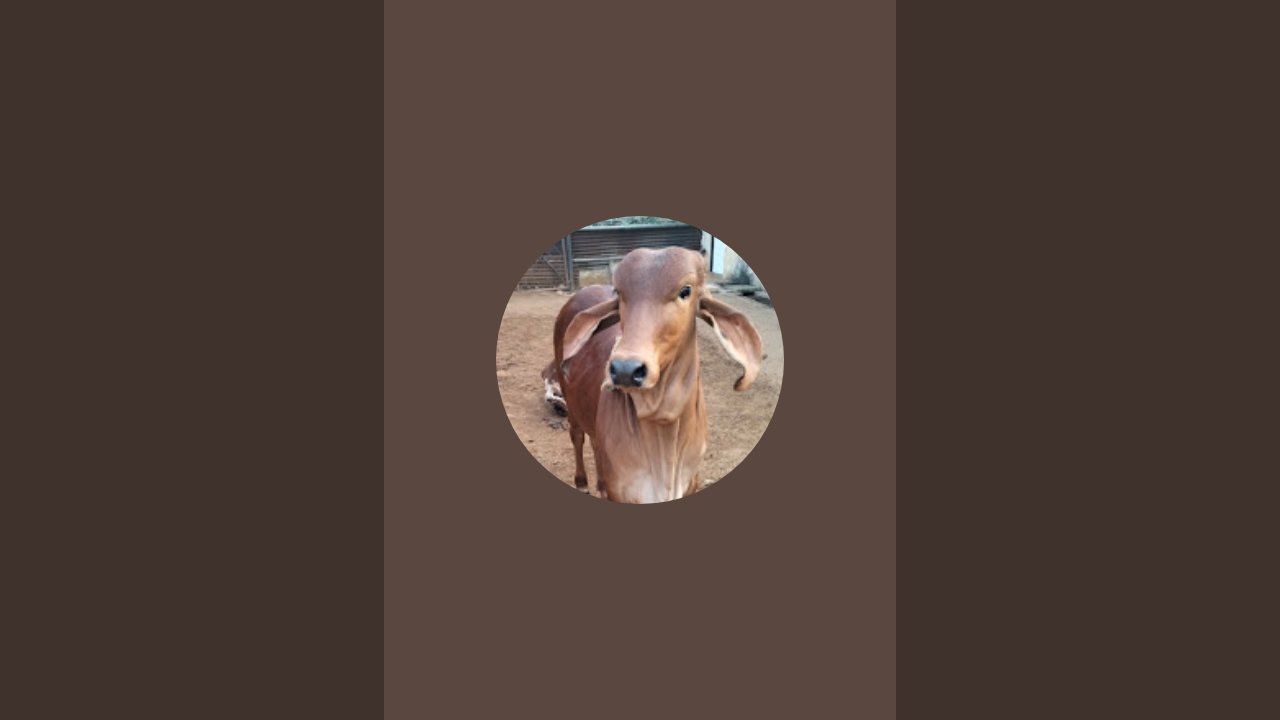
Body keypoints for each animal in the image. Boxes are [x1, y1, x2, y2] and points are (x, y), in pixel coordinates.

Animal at [553, 247, 763, 503]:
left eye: (686, 291)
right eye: (619, 293)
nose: (625, 369)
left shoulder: (692, 481)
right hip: (569, 401)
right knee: (577, 436)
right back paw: (582, 482)